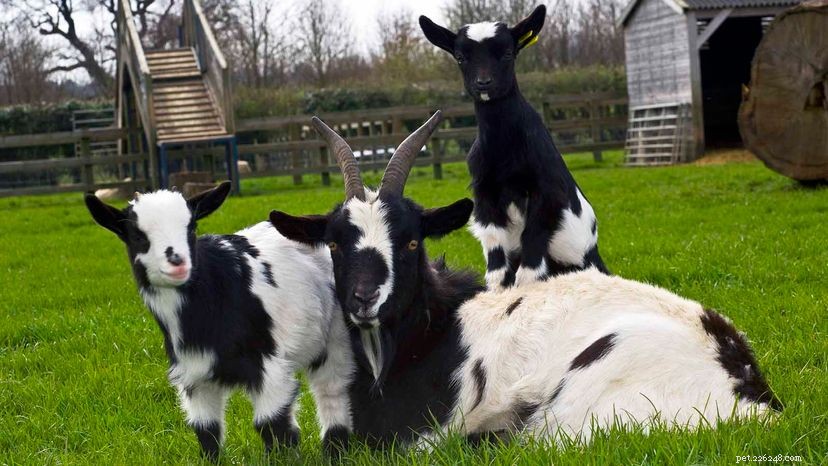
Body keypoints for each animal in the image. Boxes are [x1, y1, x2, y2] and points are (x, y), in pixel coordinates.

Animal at [84, 182, 353, 459]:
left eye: (191, 227)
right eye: (137, 235)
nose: (177, 261)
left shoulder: (270, 366)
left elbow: (273, 425)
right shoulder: (194, 374)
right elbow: (206, 431)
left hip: (336, 337)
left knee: (331, 389)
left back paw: (335, 451)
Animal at [269, 112, 781, 447]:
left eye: (412, 242)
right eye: (335, 244)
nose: (365, 299)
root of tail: (751, 395)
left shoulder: (426, 432)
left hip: (582, 400)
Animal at [420, 5, 609, 290]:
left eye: (508, 53)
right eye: (460, 57)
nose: (483, 83)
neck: (505, 152)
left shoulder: (546, 193)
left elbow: (531, 260)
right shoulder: (485, 195)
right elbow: (497, 266)